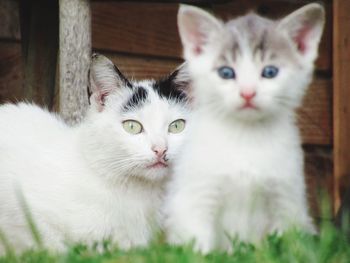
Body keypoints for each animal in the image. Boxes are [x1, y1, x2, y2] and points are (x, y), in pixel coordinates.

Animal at [164, 2, 326, 254]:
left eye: (270, 72)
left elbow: (286, 242)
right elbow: (198, 239)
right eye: (226, 73)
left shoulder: (286, 197)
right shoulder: (198, 193)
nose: (247, 93)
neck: (246, 136)